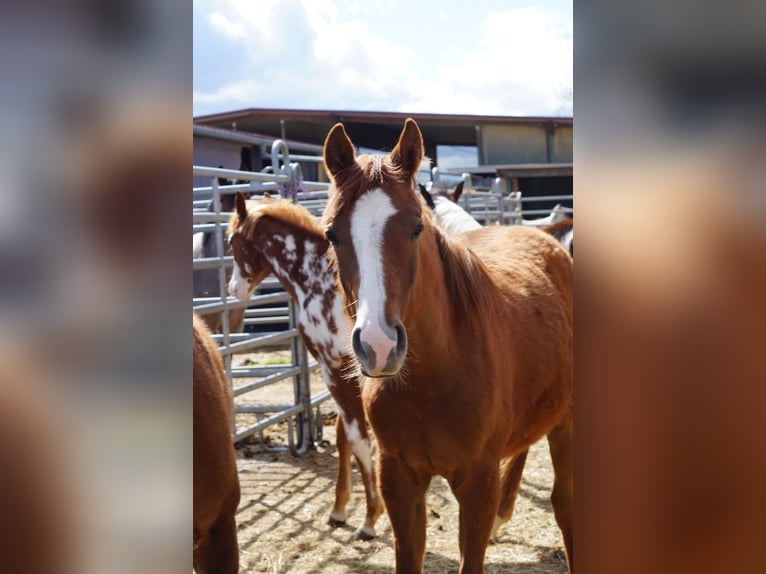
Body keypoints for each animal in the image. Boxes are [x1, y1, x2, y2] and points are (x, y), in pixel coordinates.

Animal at [226, 194, 384, 544]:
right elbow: (343, 437)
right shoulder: (340, 374)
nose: (232, 289)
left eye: (230, 241)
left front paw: (370, 518)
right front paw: (339, 509)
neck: (318, 279)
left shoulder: (335, 368)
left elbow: (358, 438)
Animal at [320, 119, 572, 572]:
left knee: (565, 504)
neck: (433, 380)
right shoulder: (398, 480)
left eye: (416, 227)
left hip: (568, 422)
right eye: (331, 233)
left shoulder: (477, 484)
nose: (379, 345)